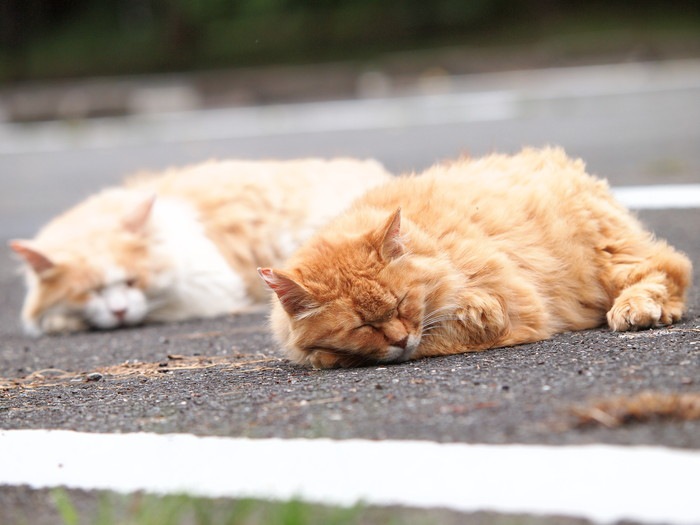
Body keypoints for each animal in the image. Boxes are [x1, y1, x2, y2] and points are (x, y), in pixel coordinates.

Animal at [258, 146, 696, 368]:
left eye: (401, 304)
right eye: (362, 325)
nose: (398, 339)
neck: (430, 243)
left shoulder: (497, 308)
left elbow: (425, 341)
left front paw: (331, 357)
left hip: (612, 257)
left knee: (669, 268)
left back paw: (637, 310)